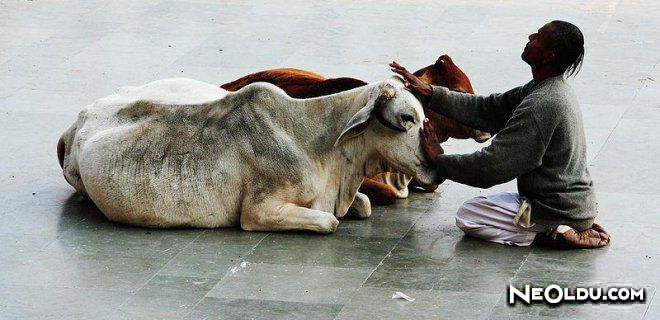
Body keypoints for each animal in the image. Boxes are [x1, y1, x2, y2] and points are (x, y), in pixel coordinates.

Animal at [56, 77, 438, 232]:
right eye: (407, 118)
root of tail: (78, 121)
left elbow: (365, 203)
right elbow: (329, 222)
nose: (436, 169)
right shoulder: (259, 210)